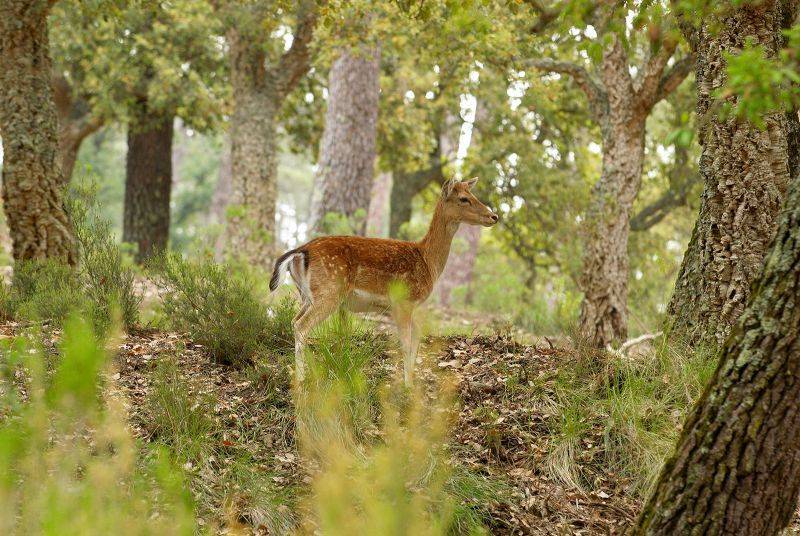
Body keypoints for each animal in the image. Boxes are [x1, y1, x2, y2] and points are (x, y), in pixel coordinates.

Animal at [272, 178, 496, 384]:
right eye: (464, 198)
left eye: (473, 194)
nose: (494, 216)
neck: (427, 261)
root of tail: (300, 251)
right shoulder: (404, 301)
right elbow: (406, 344)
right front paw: (407, 386)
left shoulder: (408, 306)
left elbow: (416, 339)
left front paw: (411, 381)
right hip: (329, 292)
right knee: (302, 326)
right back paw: (301, 380)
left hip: (306, 295)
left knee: (293, 321)